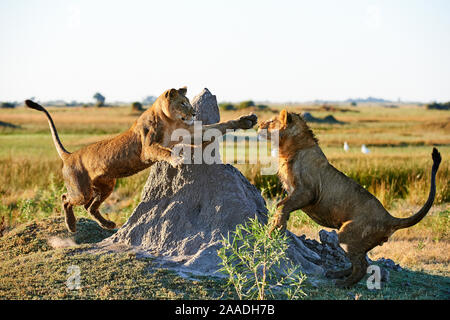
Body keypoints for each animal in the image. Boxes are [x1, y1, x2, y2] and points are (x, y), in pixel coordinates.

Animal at [24, 87, 256, 232]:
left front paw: (247, 120)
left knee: (90, 207)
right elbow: (164, 152)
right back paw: (71, 225)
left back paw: (108, 225)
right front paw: (177, 160)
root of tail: (70, 155)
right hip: (81, 190)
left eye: (189, 103)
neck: (169, 120)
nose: (194, 113)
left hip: (106, 185)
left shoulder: (192, 132)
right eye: (183, 103)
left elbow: (219, 126)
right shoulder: (147, 148)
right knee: (66, 198)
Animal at [258, 109, 442, 288]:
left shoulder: (308, 191)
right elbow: (283, 205)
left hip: (348, 233)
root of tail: (389, 218)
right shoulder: (294, 191)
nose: (259, 125)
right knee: (359, 263)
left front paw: (276, 229)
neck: (287, 149)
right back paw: (336, 274)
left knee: (362, 266)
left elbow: (283, 205)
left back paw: (342, 283)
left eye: (270, 121)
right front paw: (278, 225)